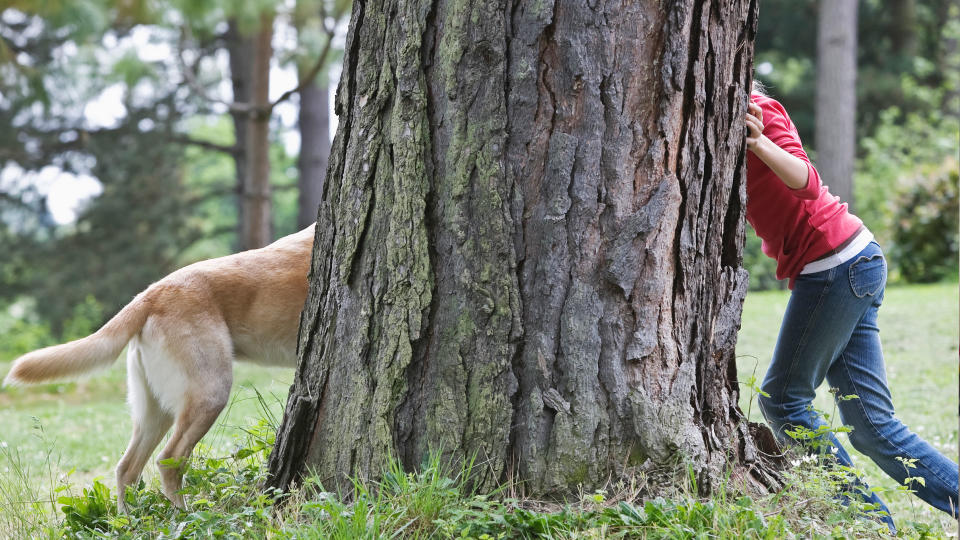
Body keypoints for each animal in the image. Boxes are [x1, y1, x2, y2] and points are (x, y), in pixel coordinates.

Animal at [3, 224, 316, 510]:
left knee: (126, 468)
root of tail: (150, 294)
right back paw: (183, 517)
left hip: (155, 411)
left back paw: (128, 521)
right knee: (167, 461)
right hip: (209, 395)